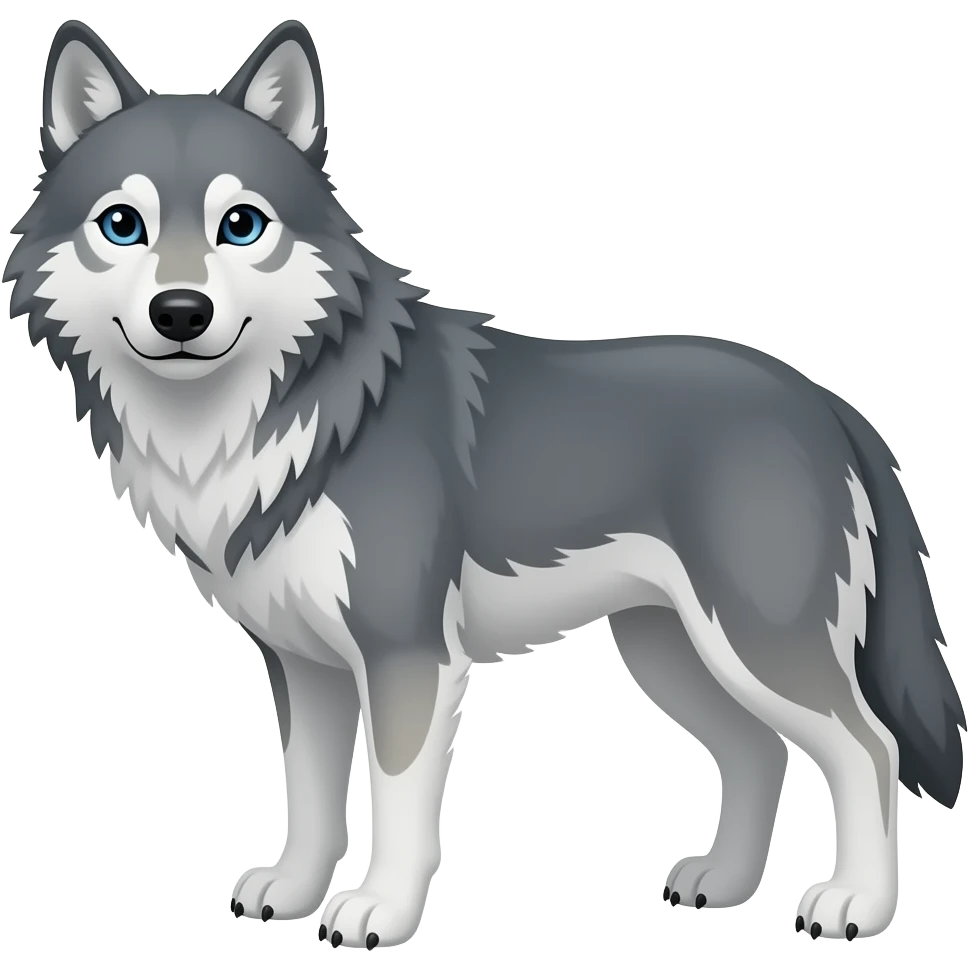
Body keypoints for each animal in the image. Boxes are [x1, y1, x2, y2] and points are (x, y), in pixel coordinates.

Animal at [4, 16, 965, 949]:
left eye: (241, 225)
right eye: (122, 225)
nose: (180, 312)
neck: (267, 417)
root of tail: (825, 401)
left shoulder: (406, 657)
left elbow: (395, 802)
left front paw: (377, 913)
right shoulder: (303, 664)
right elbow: (308, 795)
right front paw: (293, 891)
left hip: (756, 643)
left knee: (868, 751)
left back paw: (855, 906)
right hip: (672, 652)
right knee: (759, 754)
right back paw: (721, 886)